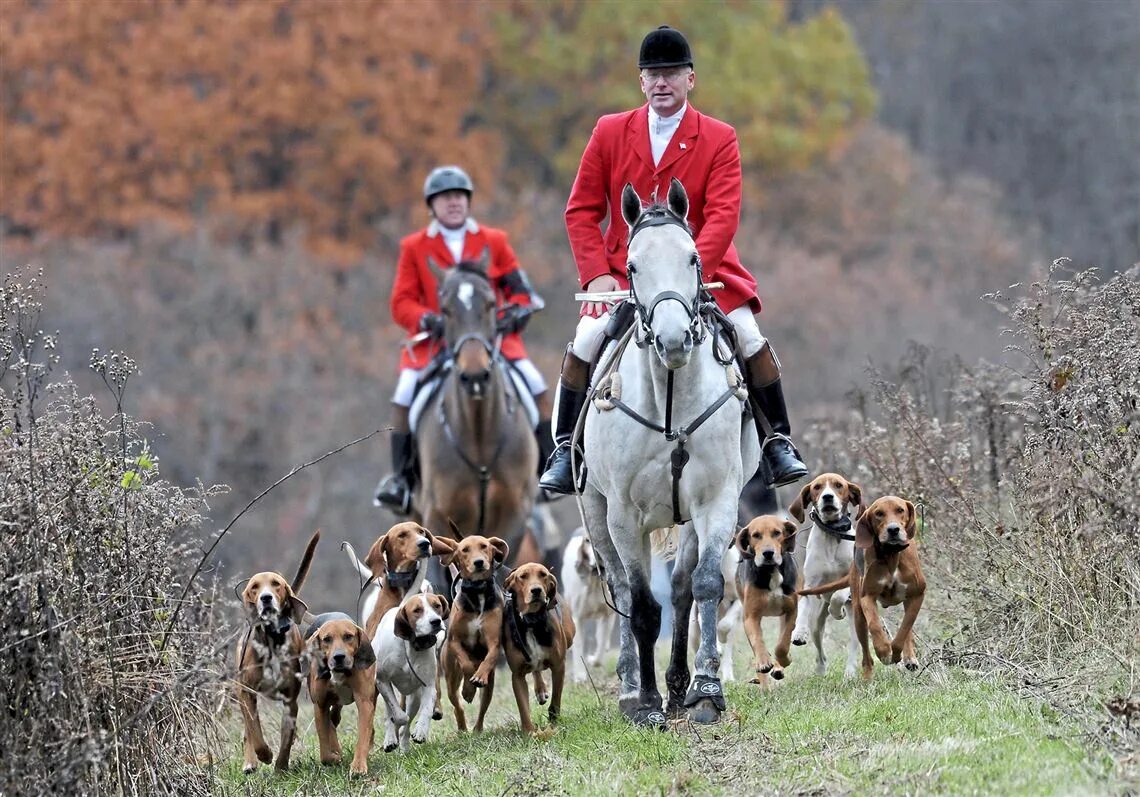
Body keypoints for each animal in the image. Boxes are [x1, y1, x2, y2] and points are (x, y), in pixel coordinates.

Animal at [417, 255, 540, 588]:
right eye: (445, 309)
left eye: (490, 303)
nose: (474, 376)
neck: (479, 433)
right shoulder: (437, 516)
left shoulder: (513, 515)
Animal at [579, 181, 756, 729]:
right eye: (631, 266)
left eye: (694, 257)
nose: (674, 339)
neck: (672, 396)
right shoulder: (623, 515)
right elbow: (639, 605)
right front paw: (646, 703)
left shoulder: (717, 501)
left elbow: (704, 587)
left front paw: (705, 691)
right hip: (595, 511)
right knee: (619, 586)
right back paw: (631, 687)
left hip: (688, 517)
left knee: (680, 589)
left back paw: (679, 687)